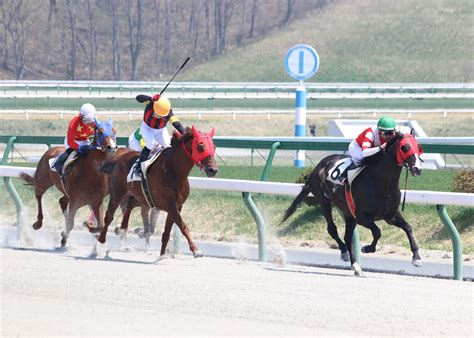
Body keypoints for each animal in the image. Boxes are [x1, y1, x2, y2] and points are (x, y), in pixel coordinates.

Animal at [19, 119, 117, 248]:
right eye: (100, 132)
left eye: (114, 131)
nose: (112, 147)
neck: (91, 172)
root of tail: (51, 149)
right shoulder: (75, 201)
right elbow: (71, 224)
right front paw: (64, 238)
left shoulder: (96, 202)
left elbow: (100, 226)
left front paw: (88, 225)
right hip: (43, 181)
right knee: (38, 194)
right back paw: (38, 223)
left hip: (66, 193)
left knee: (62, 201)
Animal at [98, 125, 220, 258]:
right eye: (200, 146)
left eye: (214, 146)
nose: (212, 170)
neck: (173, 170)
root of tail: (119, 158)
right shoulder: (170, 205)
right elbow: (183, 226)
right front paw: (196, 250)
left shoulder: (177, 205)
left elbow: (167, 231)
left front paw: (162, 255)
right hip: (117, 192)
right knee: (109, 215)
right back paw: (101, 239)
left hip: (141, 198)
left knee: (129, 206)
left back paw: (121, 227)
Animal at [284, 131, 424, 276]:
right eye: (405, 147)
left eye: (419, 147)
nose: (417, 169)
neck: (380, 183)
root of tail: (318, 166)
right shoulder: (362, 217)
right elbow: (377, 232)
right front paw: (367, 248)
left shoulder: (390, 216)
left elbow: (407, 227)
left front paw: (416, 258)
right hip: (324, 202)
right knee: (332, 229)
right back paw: (345, 253)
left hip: (348, 213)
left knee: (347, 237)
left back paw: (355, 266)